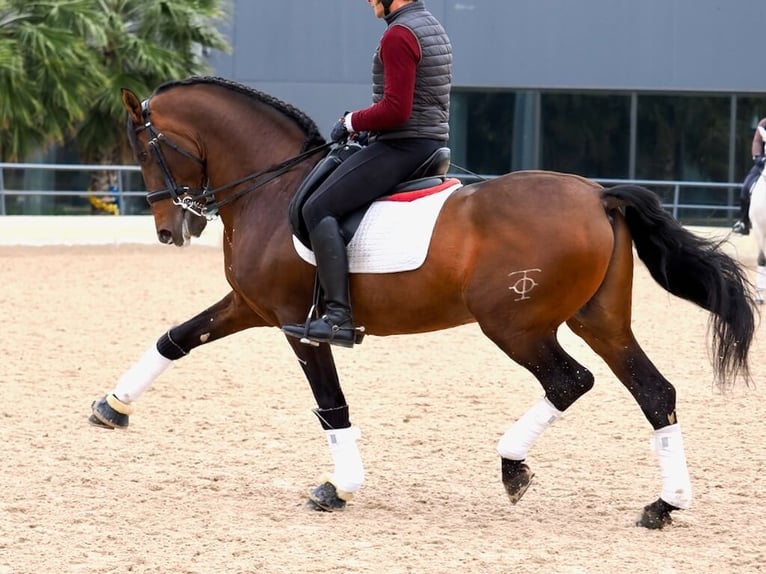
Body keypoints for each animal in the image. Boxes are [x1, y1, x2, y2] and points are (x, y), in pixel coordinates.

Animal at [88, 76, 756, 532]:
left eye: (144, 151)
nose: (170, 231)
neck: (271, 187)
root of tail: (599, 195)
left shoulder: (298, 326)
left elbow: (331, 404)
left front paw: (339, 486)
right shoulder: (252, 306)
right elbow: (177, 337)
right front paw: (111, 407)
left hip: (515, 324)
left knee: (571, 382)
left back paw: (513, 466)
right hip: (599, 321)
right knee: (654, 392)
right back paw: (664, 504)